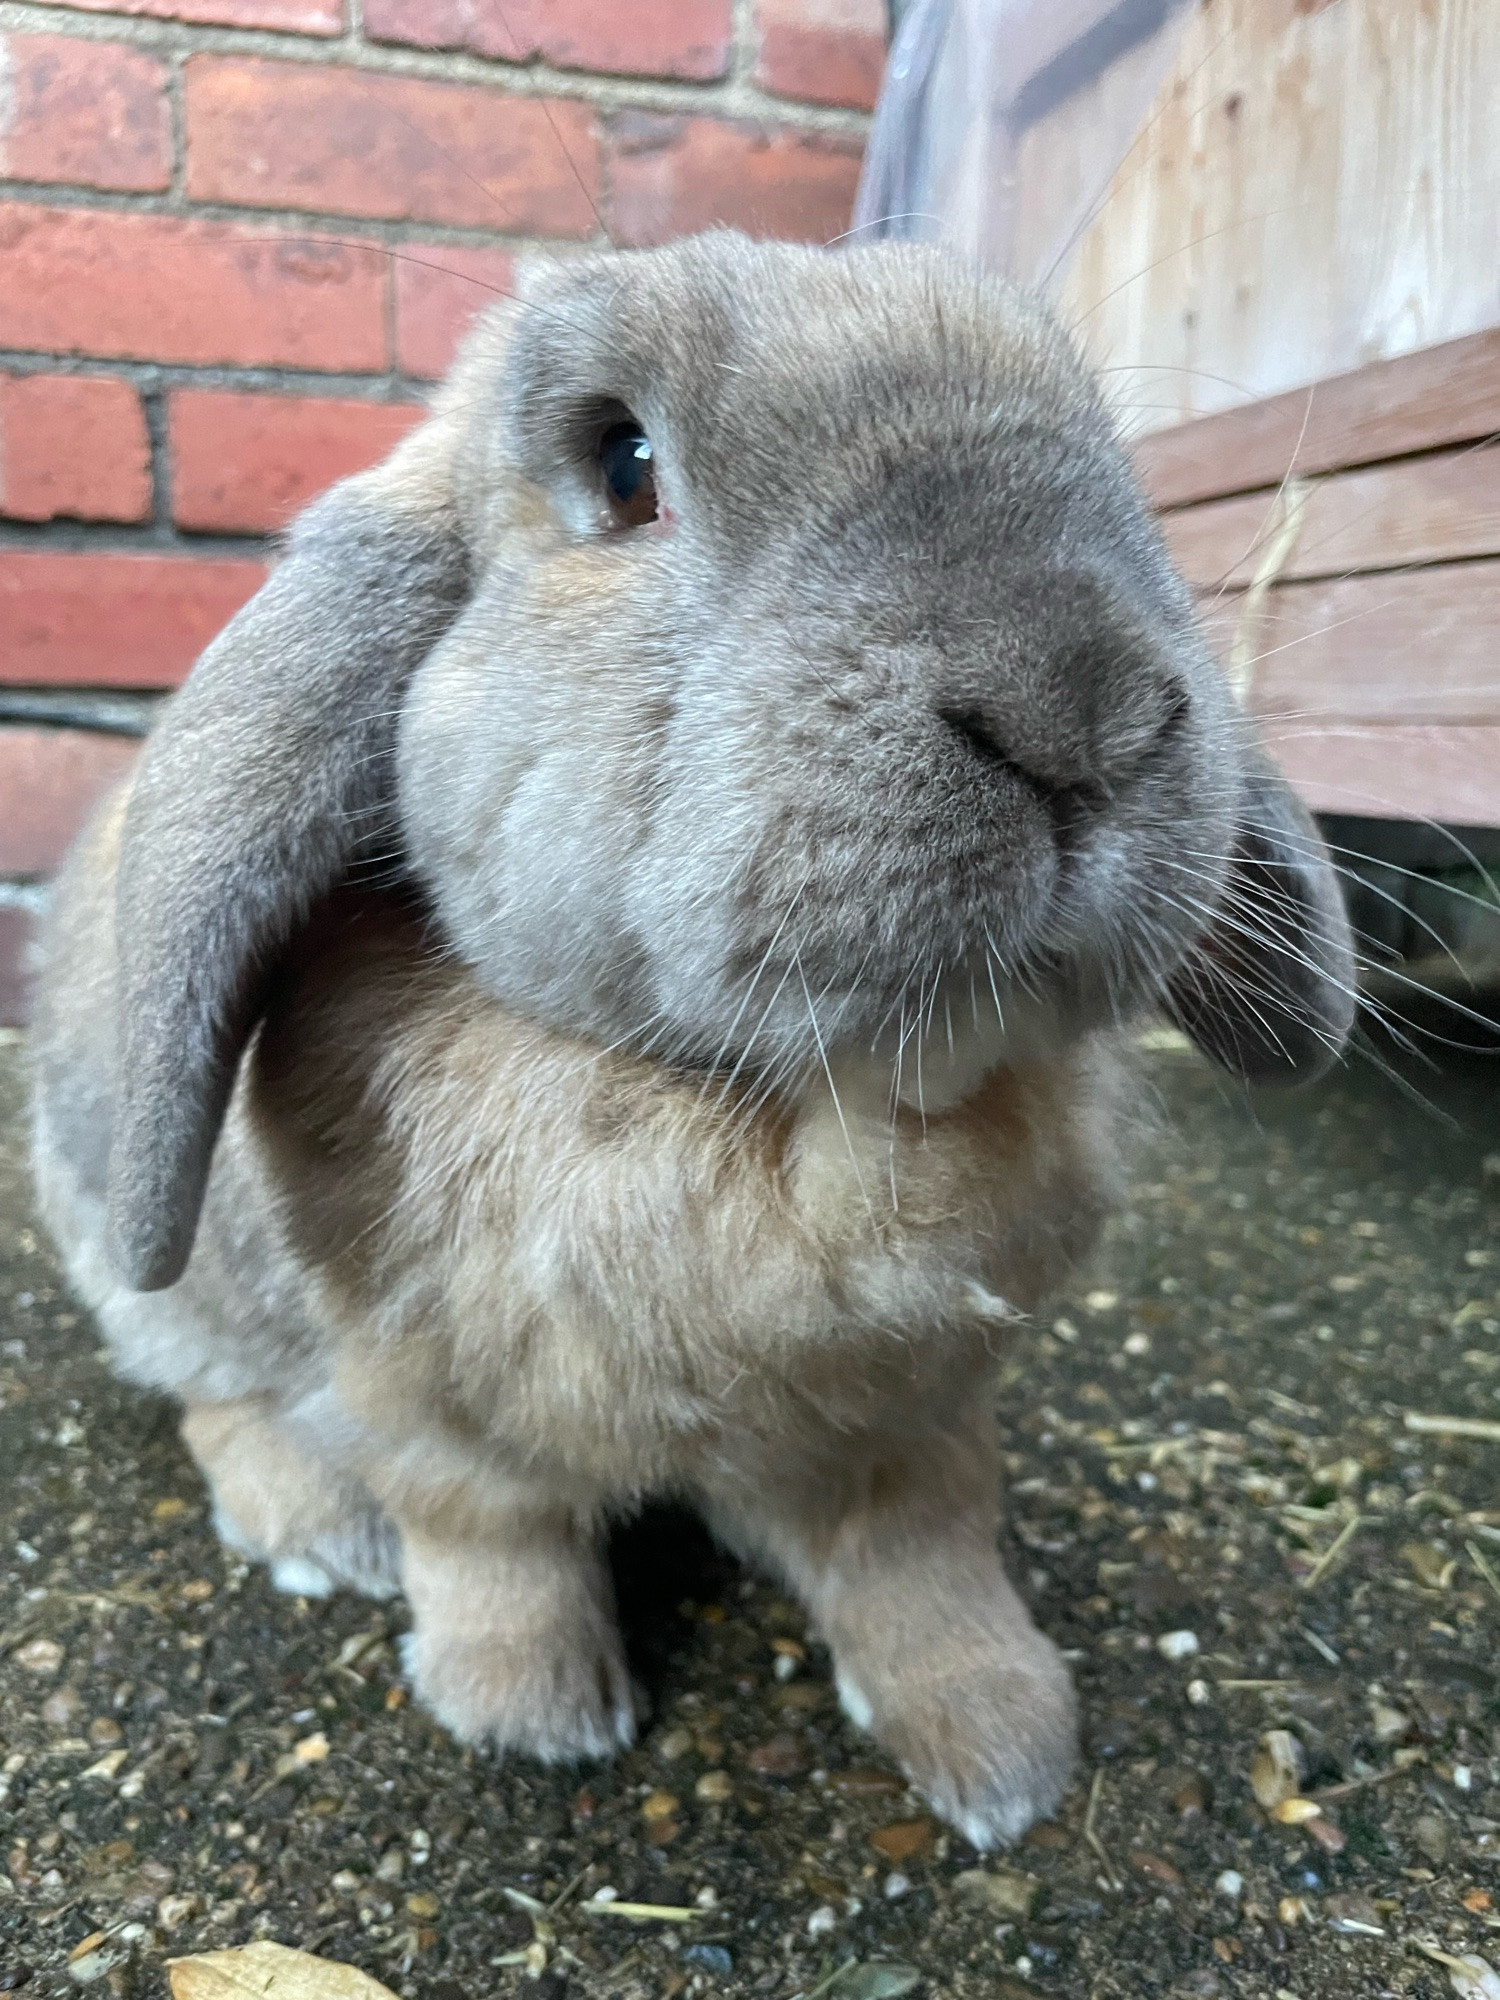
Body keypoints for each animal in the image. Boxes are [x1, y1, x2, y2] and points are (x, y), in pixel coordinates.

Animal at [29, 230, 1360, 1840]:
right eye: (624, 463)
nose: (1080, 708)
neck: (800, 1115)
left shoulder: (913, 1421)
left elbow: (926, 1555)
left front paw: (1005, 1754)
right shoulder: (423, 1403)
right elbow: (490, 1540)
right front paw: (530, 1717)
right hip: (161, 1274)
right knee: (208, 1396)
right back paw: (315, 1530)